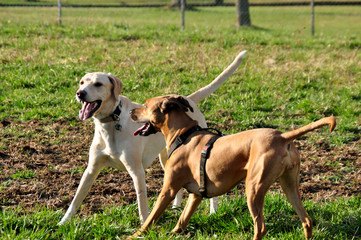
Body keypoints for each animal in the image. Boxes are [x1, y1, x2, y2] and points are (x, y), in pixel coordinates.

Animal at [58, 50, 245, 225]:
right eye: (82, 82)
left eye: (98, 84)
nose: (80, 93)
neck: (110, 124)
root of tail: (188, 99)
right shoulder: (91, 169)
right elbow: (75, 200)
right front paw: (62, 222)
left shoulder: (137, 171)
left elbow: (142, 204)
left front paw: (143, 226)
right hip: (167, 158)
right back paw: (176, 207)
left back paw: (213, 211)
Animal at [129, 94, 334, 239]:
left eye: (145, 105)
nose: (131, 112)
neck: (184, 134)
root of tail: (283, 137)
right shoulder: (196, 194)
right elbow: (182, 219)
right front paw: (174, 233)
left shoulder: (169, 190)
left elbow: (150, 218)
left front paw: (135, 235)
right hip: (289, 186)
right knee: (306, 221)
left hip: (253, 188)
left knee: (260, 227)